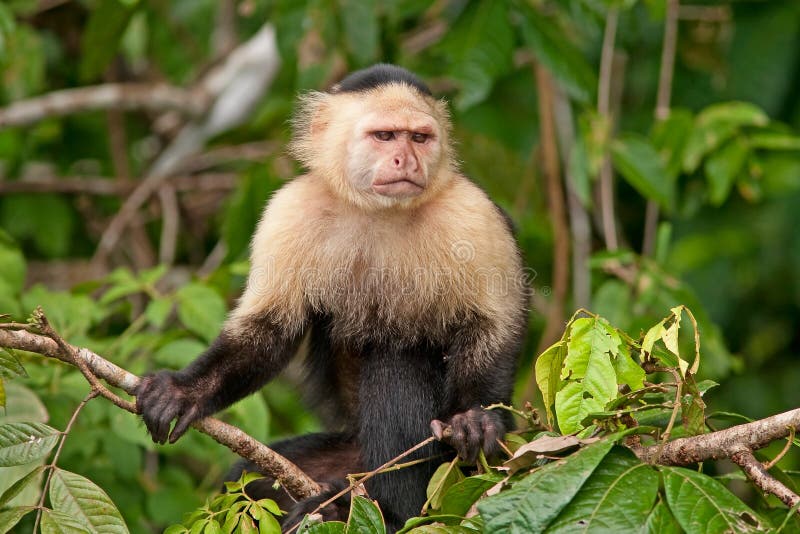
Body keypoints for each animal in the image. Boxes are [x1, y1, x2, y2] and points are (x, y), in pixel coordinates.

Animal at [134, 63, 528, 532]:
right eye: (384, 136)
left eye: (419, 138)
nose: (407, 160)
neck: (379, 211)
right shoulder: (289, 209)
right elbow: (268, 331)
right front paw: (184, 391)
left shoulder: (472, 213)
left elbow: (494, 326)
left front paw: (476, 419)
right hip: (345, 453)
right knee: (248, 480)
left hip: (446, 472)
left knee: (397, 361)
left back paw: (390, 511)